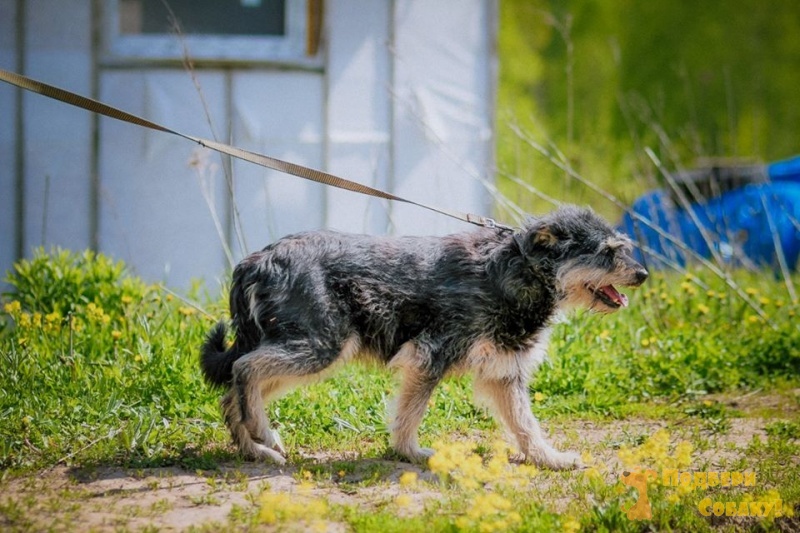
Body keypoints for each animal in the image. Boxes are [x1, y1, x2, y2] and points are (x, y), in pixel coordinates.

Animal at [198, 206, 644, 468]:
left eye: (622, 248)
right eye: (607, 252)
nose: (642, 274)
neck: (517, 269)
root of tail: (256, 260)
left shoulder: (503, 373)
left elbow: (525, 425)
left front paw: (550, 459)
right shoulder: (430, 357)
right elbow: (409, 415)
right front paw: (409, 453)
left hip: (307, 352)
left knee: (233, 393)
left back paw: (255, 449)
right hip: (317, 348)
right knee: (244, 369)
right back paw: (262, 434)